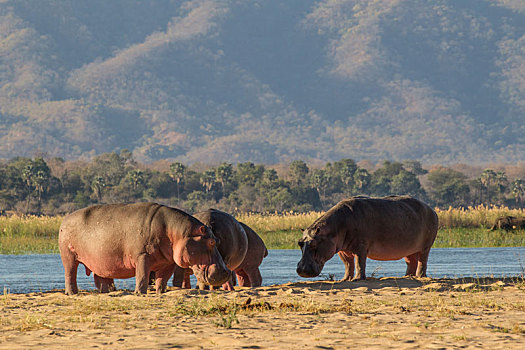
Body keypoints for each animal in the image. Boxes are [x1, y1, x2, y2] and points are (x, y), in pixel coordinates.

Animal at [58, 202, 230, 296]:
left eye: (217, 240)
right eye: (211, 242)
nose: (226, 271)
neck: (177, 232)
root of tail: (65, 219)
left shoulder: (168, 262)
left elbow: (162, 280)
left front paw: (161, 293)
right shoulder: (142, 256)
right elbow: (142, 276)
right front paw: (140, 293)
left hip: (101, 262)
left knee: (102, 280)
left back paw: (107, 292)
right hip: (69, 257)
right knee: (70, 274)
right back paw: (72, 293)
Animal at [294, 196, 438, 280]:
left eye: (314, 244)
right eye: (300, 243)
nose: (302, 270)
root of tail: (431, 209)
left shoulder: (361, 247)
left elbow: (359, 263)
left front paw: (358, 279)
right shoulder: (342, 250)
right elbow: (348, 264)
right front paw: (345, 279)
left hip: (426, 246)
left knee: (422, 261)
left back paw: (420, 276)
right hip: (410, 249)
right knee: (411, 261)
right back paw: (407, 277)